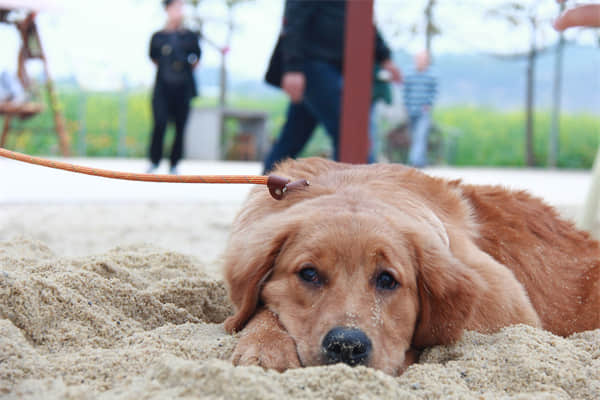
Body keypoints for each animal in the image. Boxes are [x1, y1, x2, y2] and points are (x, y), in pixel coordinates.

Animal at [223, 159, 596, 376]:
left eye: (387, 280)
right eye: (309, 274)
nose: (347, 346)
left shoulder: (508, 304)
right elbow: (260, 310)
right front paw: (266, 345)